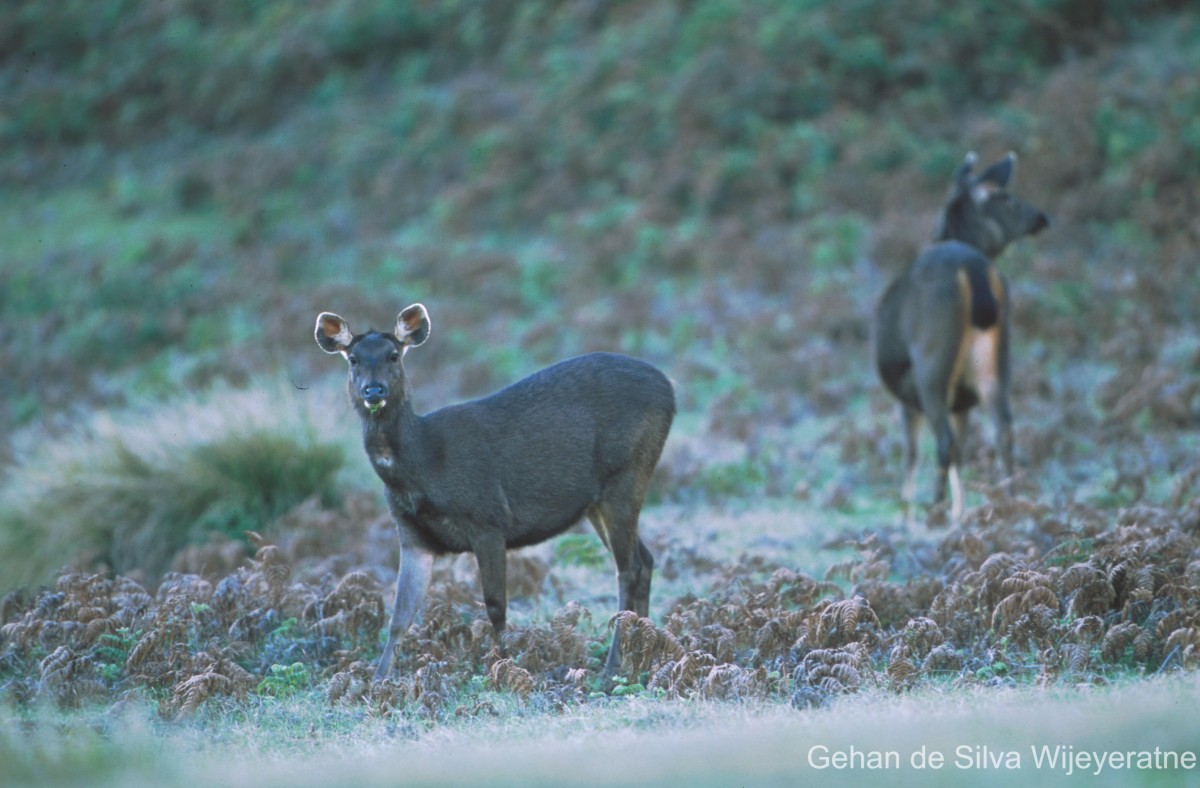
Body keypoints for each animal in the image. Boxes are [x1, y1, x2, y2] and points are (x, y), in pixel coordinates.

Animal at [319, 304, 676, 681]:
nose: (374, 391)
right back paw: (643, 655)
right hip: (599, 499)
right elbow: (401, 614)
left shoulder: (488, 518)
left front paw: (504, 666)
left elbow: (495, 605)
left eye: (393, 355)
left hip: (627, 474)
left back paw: (612, 666)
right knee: (645, 559)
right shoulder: (411, 533)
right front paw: (377, 679)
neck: (425, 465)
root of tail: (669, 388)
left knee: (628, 568)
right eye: (353, 359)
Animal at [873, 151, 1051, 525]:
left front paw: (906, 513)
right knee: (1002, 428)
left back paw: (933, 511)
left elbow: (912, 453)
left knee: (942, 440)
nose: (1042, 217)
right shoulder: (963, 401)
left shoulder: (906, 396)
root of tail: (976, 272)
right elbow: (964, 449)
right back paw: (1009, 502)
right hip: (996, 359)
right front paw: (962, 509)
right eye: (1005, 196)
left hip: (931, 362)